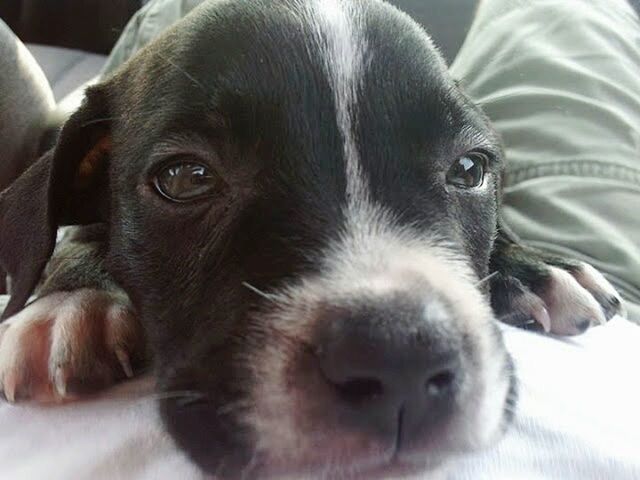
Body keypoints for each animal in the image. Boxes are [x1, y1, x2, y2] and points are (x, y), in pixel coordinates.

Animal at [0, 1, 624, 478]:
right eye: (185, 178)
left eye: (469, 169)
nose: (402, 356)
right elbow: (79, 234)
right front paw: (71, 299)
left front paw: (533, 266)